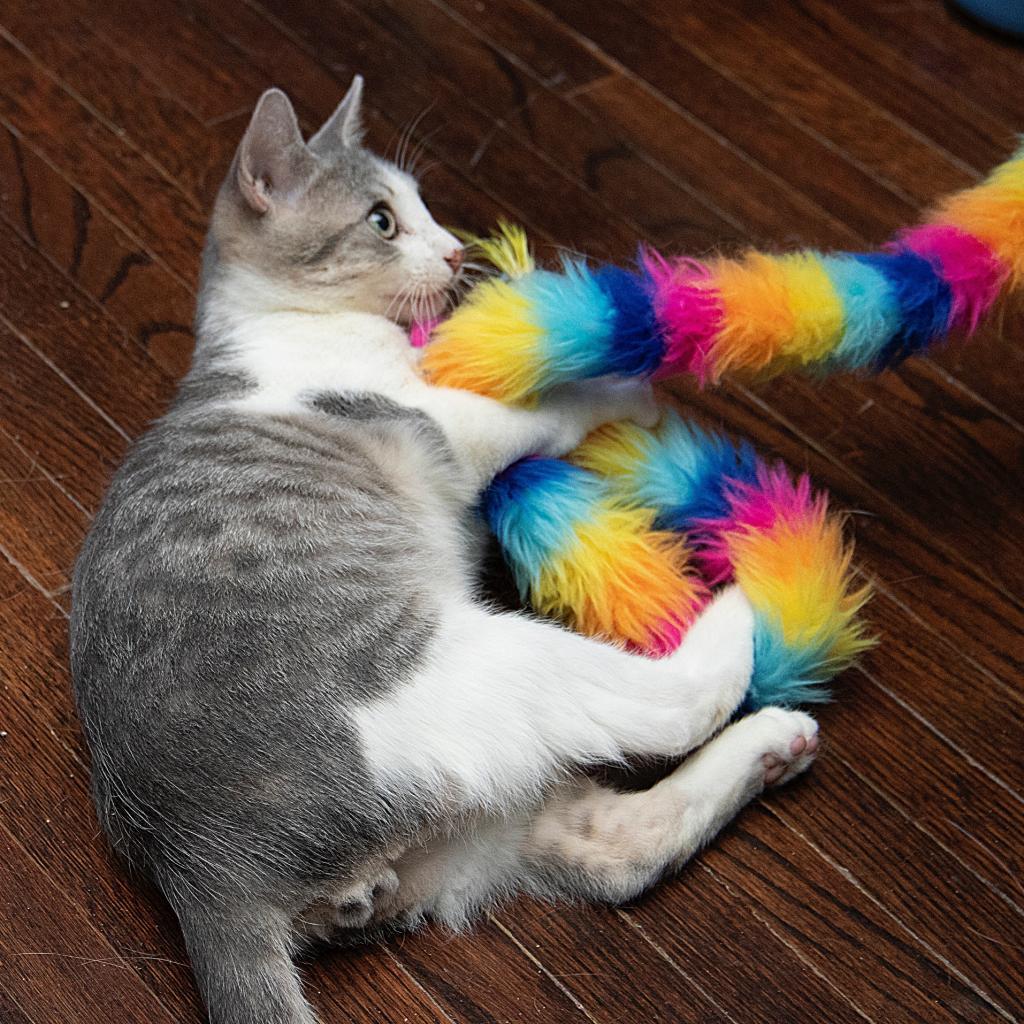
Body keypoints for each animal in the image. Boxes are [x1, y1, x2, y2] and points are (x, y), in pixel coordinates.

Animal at [68, 79, 819, 1024]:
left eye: (422, 206)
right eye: (382, 220)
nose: (458, 248)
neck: (275, 325)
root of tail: (200, 867)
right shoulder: (442, 425)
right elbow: (540, 408)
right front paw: (628, 387)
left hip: (483, 821)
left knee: (615, 850)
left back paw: (779, 742)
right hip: (488, 664)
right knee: (674, 708)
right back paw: (750, 591)